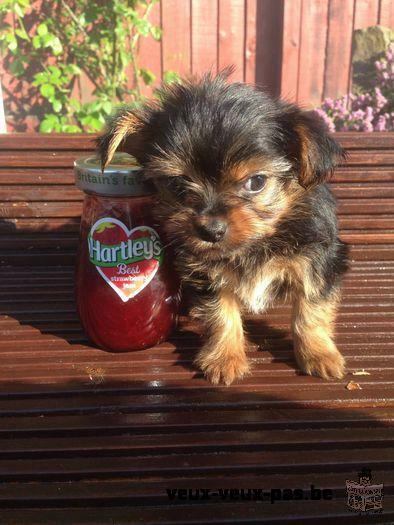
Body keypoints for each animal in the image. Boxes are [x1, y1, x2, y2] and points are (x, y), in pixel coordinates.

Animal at [97, 71, 348, 384]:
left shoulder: (318, 261)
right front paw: (224, 358)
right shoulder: (205, 272)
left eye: (256, 182)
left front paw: (319, 354)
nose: (211, 231)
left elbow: (311, 309)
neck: (255, 244)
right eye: (177, 184)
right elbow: (220, 312)